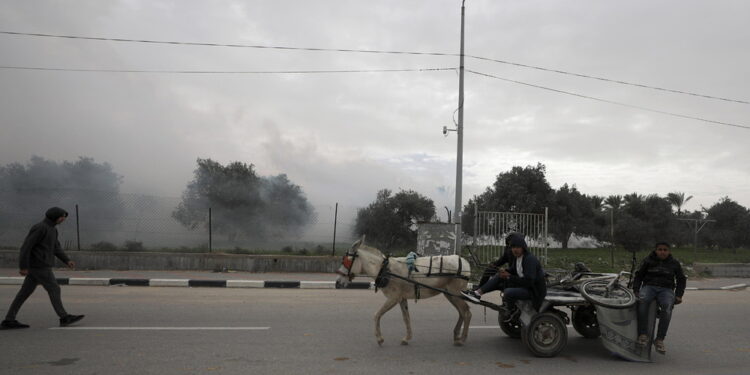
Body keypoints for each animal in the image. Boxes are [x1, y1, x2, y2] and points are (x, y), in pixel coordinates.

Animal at [338, 238, 472, 346]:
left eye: (345, 261)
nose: (338, 282)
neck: (384, 269)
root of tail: (464, 262)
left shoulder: (393, 298)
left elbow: (377, 315)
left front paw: (380, 339)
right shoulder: (402, 298)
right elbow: (406, 318)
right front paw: (407, 338)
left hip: (456, 292)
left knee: (466, 312)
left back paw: (462, 339)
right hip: (449, 294)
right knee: (461, 312)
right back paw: (456, 335)